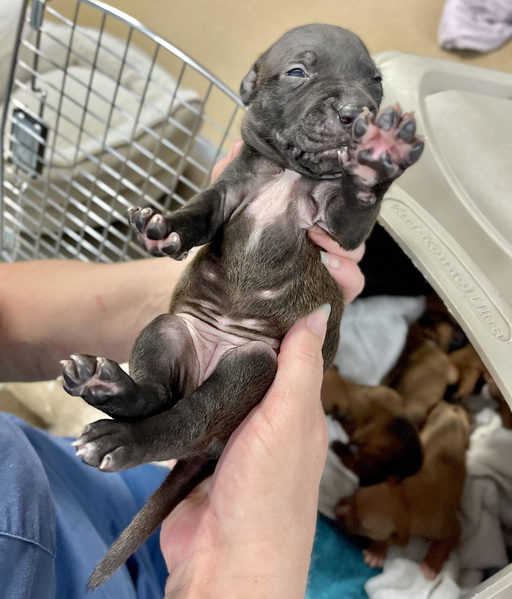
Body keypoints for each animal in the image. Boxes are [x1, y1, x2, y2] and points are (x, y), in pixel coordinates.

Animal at [59, 24, 424, 592]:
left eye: (376, 83)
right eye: (298, 72)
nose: (356, 113)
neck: (288, 173)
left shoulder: (335, 230)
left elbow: (354, 212)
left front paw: (380, 155)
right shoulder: (228, 192)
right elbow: (199, 214)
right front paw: (162, 229)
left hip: (248, 370)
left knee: (185, 418)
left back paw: (121, 434)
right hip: (170, 331)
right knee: (159, 393)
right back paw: (109, 387)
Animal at [336, 400, 468, 580]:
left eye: (364, 526)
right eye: (355, 494)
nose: (336, 509)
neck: (409, 499)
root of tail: (453, 409)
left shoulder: (447, 525)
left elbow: (446, 541)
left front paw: (431, 565)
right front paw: (378, 550)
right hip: (434, 415)